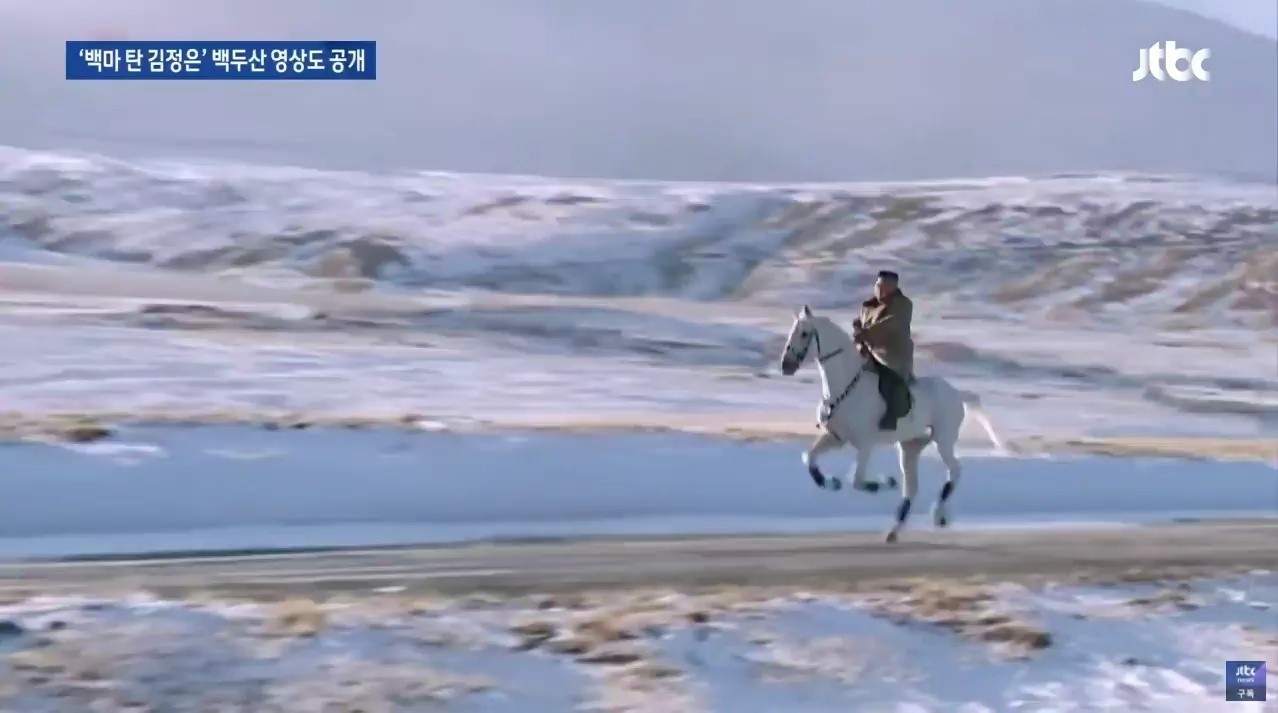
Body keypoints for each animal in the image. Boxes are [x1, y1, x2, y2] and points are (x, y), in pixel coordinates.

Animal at [778, 305, 1007, 542]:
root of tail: (957, 393)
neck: (845, 388)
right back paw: (894, 531)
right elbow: (810, 458)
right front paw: (831, 483)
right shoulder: (836, 437)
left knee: (955, 471)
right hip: (910, 447)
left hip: (943, 441)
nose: (785, 365)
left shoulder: (865, 444)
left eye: (804, 333)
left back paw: (938, 515)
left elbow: (856, 480)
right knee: (912, 487)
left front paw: (884, 482)